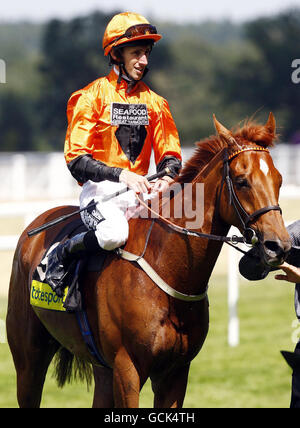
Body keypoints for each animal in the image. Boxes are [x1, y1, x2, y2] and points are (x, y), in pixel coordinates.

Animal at [6, 113, 290, 408]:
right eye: (242, 180)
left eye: (279, 180)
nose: (278, 245)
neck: (168, 270)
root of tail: (35, 226)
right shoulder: (127, 368)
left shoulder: (176, 372)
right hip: (28, 360)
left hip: (101, 369)